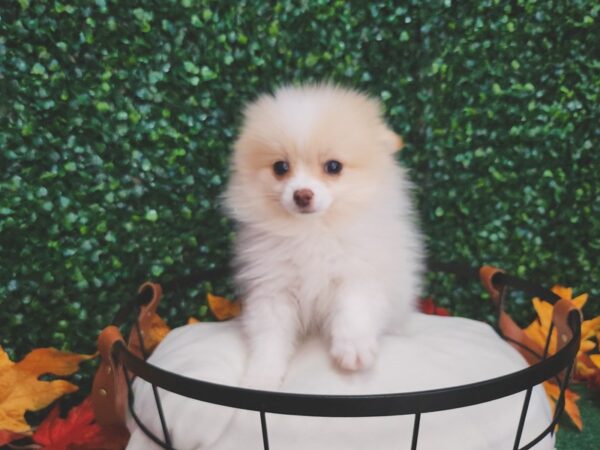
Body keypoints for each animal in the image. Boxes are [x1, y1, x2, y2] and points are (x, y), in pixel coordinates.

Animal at [223, 86, 424, 388]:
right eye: (280, 167)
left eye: (333, 167)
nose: (302, 195)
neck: (313, 232)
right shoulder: (273, 288)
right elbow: (269, 338)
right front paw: (260, 377)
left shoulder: (359, 273)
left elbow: (354, 310)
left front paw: (353, 348)